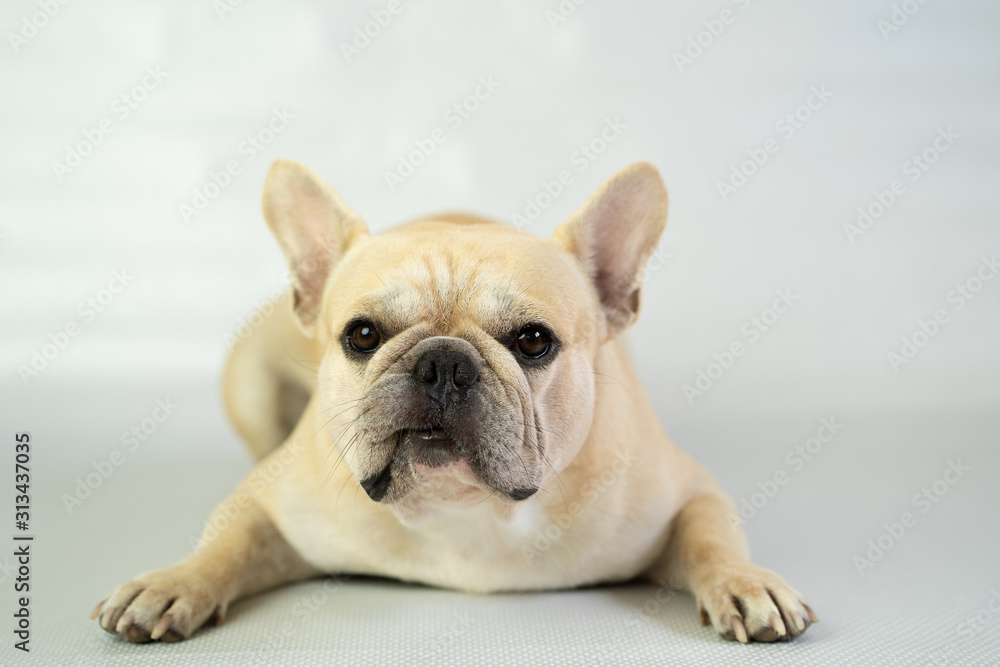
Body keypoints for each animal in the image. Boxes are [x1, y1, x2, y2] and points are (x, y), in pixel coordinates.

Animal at [92, 159, 812, 644]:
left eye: (533, 341)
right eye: (362, 335)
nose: (443, 363)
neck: (467, 512)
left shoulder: (685, 492)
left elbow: (712, 536)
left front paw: (747, 582)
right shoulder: (270, 499)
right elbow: (227, 540)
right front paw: (173, 583)